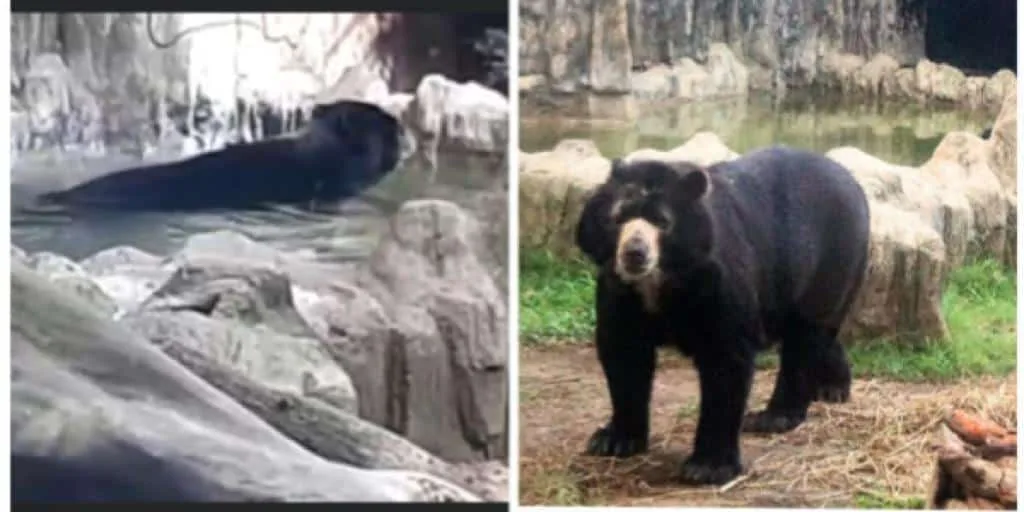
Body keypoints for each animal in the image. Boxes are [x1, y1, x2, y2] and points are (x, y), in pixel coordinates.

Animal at [575, 146, 871, 486]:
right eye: (618, 218)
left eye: (662, 222)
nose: (635, 253)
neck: (659, 279)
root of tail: (851, 180)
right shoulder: (619, 288)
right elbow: (624, 353)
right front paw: (612, 440)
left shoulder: (718, 280)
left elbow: (725, 359)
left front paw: (707, 467)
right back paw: (831, 388)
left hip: (829, 259)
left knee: (806, 335)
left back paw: (774, 416)